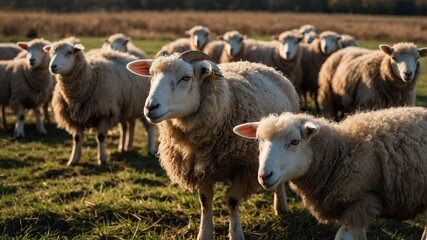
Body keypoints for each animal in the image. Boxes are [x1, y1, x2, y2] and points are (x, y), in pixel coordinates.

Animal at [127, 49, 300, 239]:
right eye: (151, 75)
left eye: (186, 77)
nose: (150, 107)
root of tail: (261, 65)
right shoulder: (199, 170)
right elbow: (205, 201)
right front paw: (204, 233)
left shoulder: (245, 167)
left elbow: (232, 200)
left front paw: (236, 234)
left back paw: (281, 207)